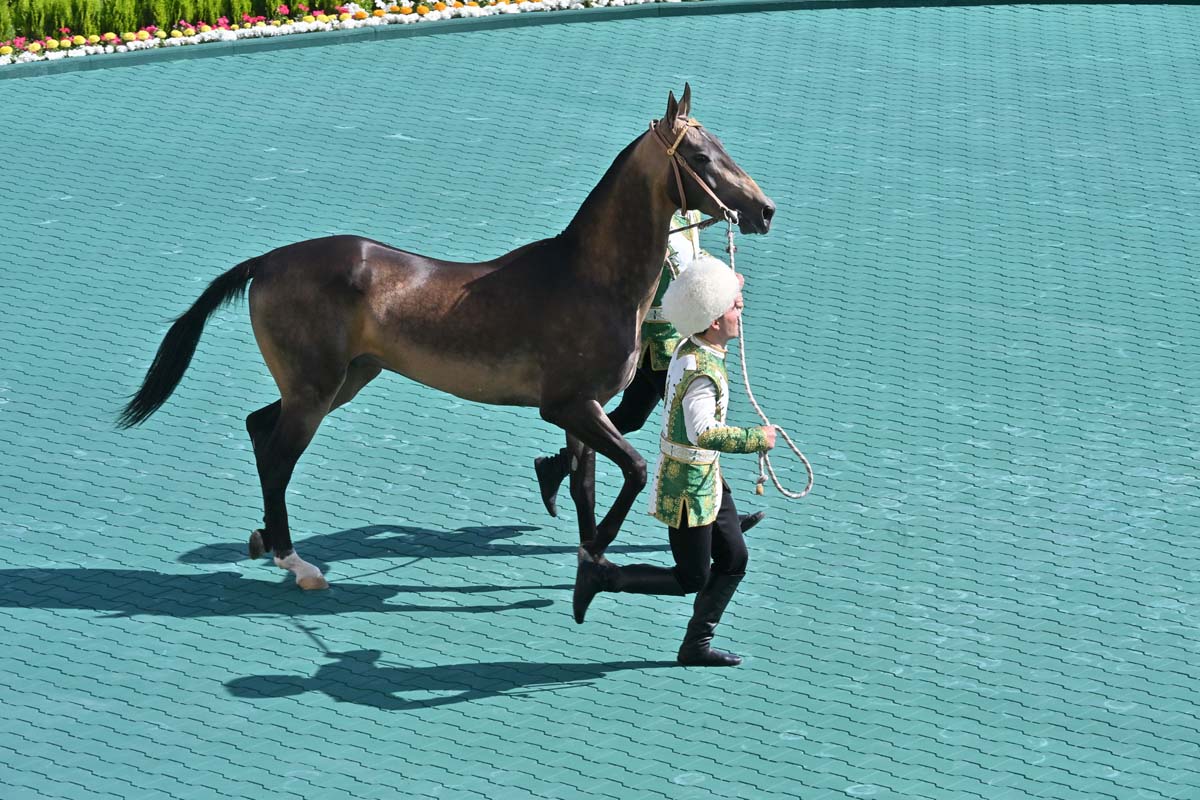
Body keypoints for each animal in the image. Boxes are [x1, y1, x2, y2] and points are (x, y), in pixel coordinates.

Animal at [119, 85, 775, 590]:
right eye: (700, 156)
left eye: (720, 147)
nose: (764, 210)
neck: (589, 278)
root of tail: (268, 261)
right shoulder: (566, 405)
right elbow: (635, 469)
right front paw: (599, 546)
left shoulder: (584, 409)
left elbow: (585, 483)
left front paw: (591, 556)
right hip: (316, 389)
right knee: (278, 456)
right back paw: (296, 562)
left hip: (343, 379)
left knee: (260, 429)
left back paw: (264, 539)